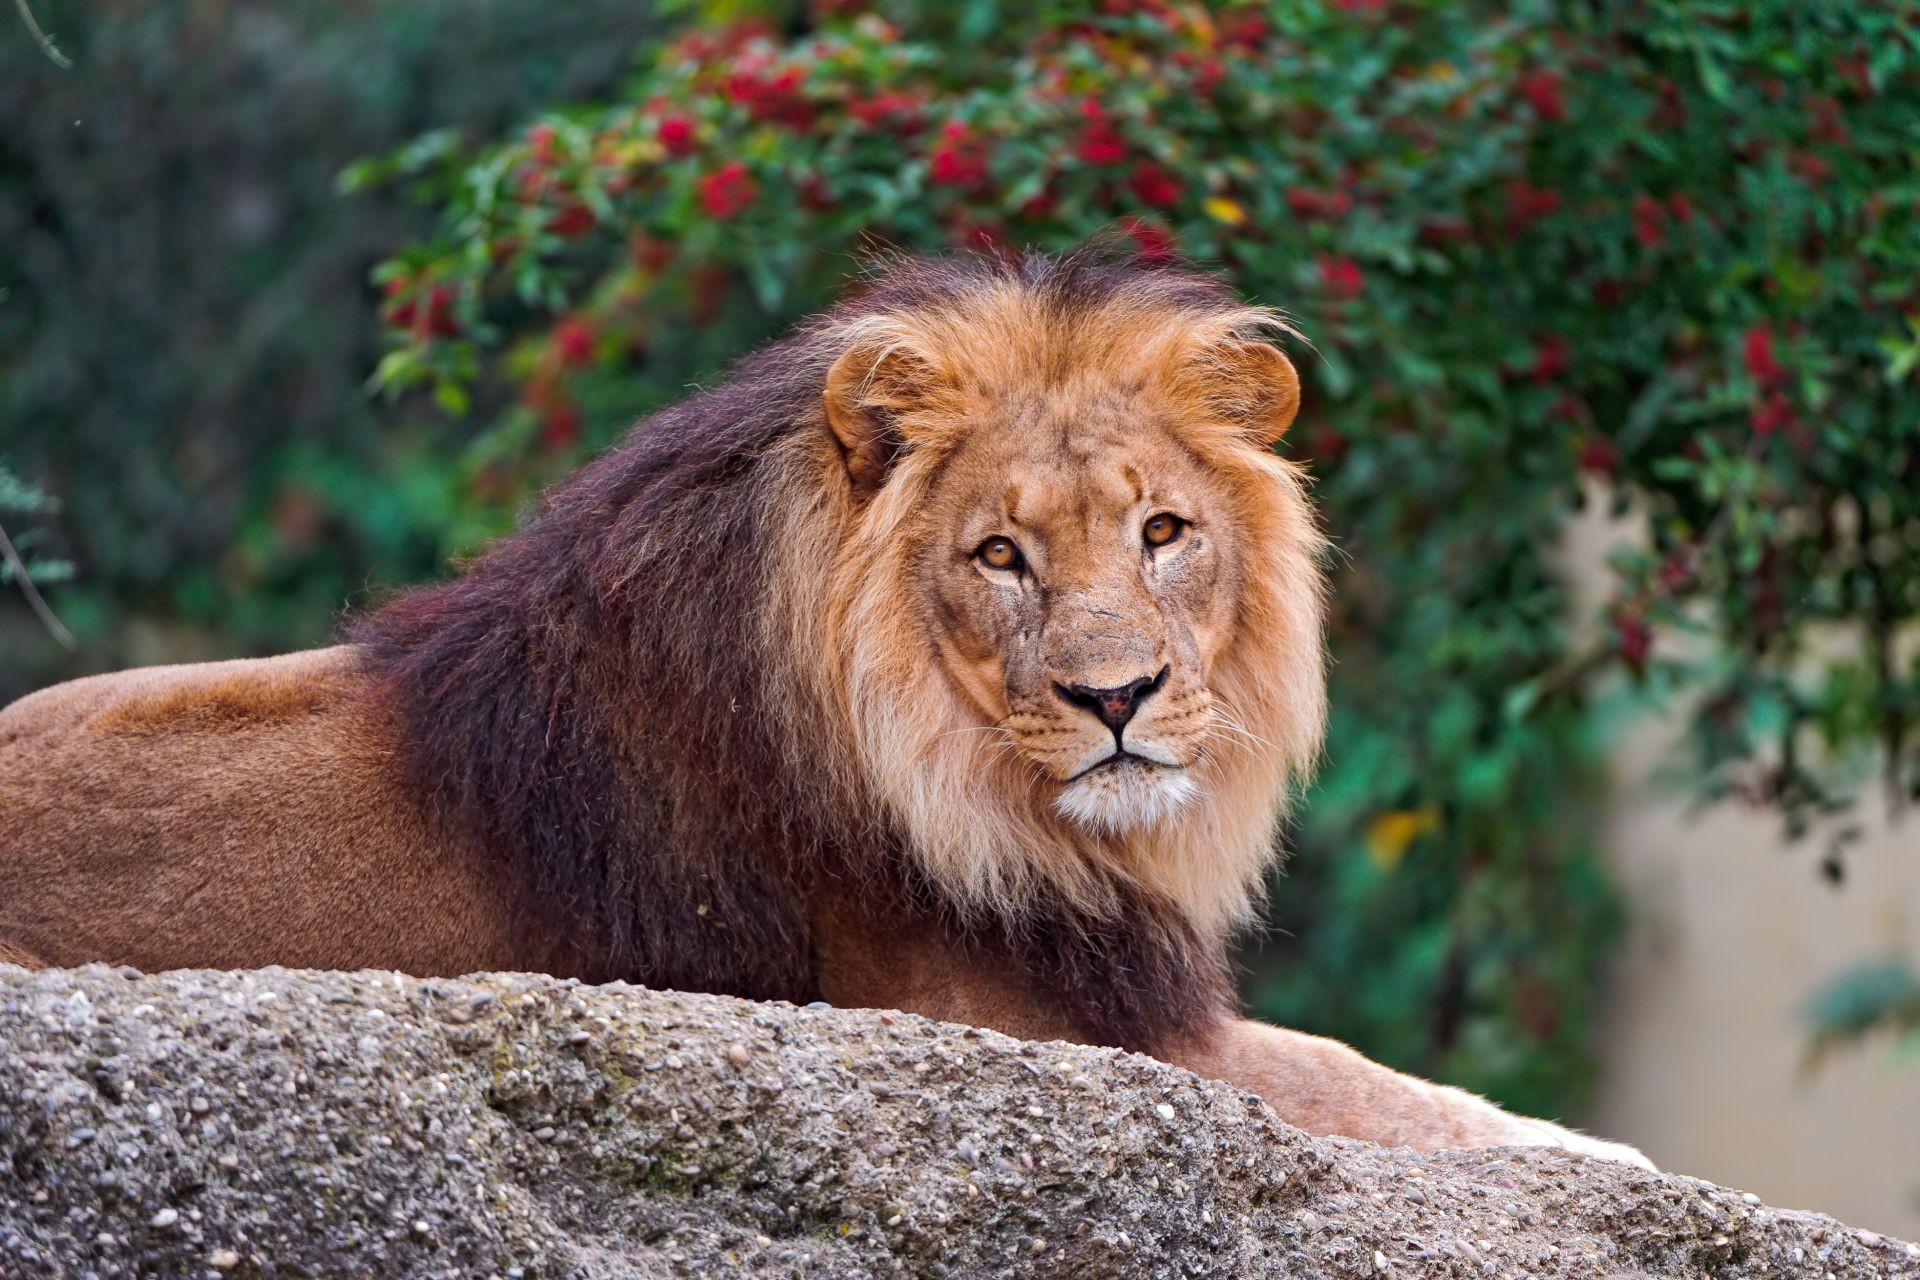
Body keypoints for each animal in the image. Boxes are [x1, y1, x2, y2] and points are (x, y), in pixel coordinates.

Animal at [3, 245, 1651, 1166]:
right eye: (1001, 555)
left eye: (1163, 532)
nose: (1117, 696)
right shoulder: (1030, 1030)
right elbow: (1362, 1081)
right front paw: (1605, 1155)